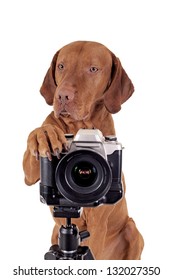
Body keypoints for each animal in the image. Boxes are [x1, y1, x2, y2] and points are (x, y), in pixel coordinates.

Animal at [23, 40, 145, 260]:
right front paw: (43, 134)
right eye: (61, 66)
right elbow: (38, 143)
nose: (62, 95)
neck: (80, 127)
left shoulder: (98, 223)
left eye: (93, 69)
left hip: (133, 230)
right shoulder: (28, 174)